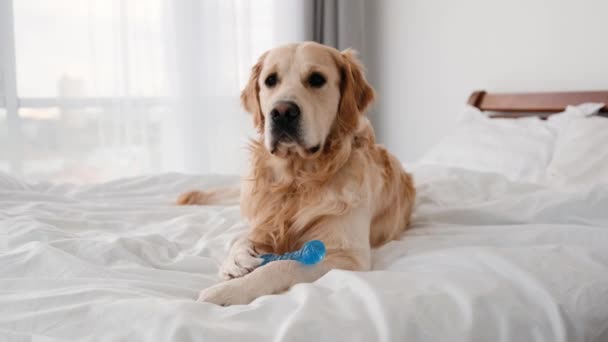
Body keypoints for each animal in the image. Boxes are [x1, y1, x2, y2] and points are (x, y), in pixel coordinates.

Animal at [176, 41, 414, 306]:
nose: (281, 112)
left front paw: (228, 291)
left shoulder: (347, 255)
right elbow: (241, 238)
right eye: (270, 80)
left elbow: (283, 265)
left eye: (317, 79)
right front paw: (236, 260)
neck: (295, 179)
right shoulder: (264, 222)